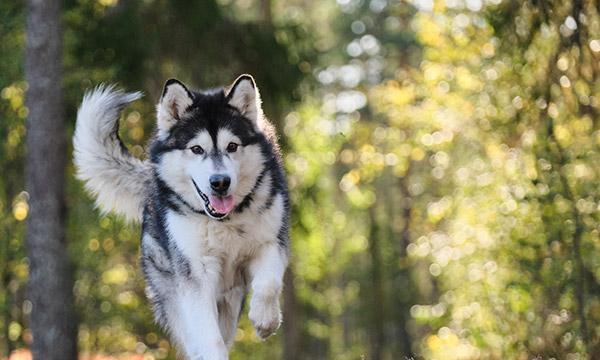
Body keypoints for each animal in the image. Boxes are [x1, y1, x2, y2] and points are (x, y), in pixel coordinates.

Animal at [72, 74, 288, 358]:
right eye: (196, 149)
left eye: (232, 146)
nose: (220, 182)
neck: (225, 221)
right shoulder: (196, 275)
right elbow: (209, 339)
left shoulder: (271, 242)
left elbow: (269, 284)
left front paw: (265, 321)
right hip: (174, 293)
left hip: (229, 303)